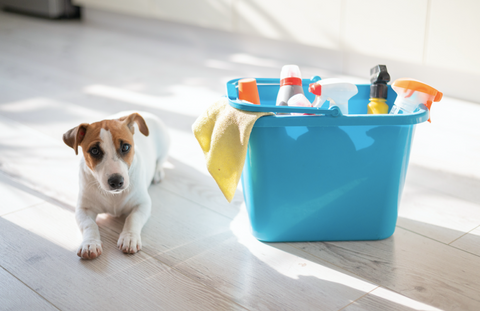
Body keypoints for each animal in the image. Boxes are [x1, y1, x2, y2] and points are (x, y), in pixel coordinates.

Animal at [62, 111, 170, 260]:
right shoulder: (83, 209)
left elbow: (133, 218)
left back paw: (158, 172)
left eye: (125, 147)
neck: (113, 196)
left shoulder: (143, 204)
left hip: (164, 146)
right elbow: (89, 224)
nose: (116, 181)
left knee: (161, 161)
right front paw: (90, 244)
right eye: (94, 151)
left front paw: (129, 238)